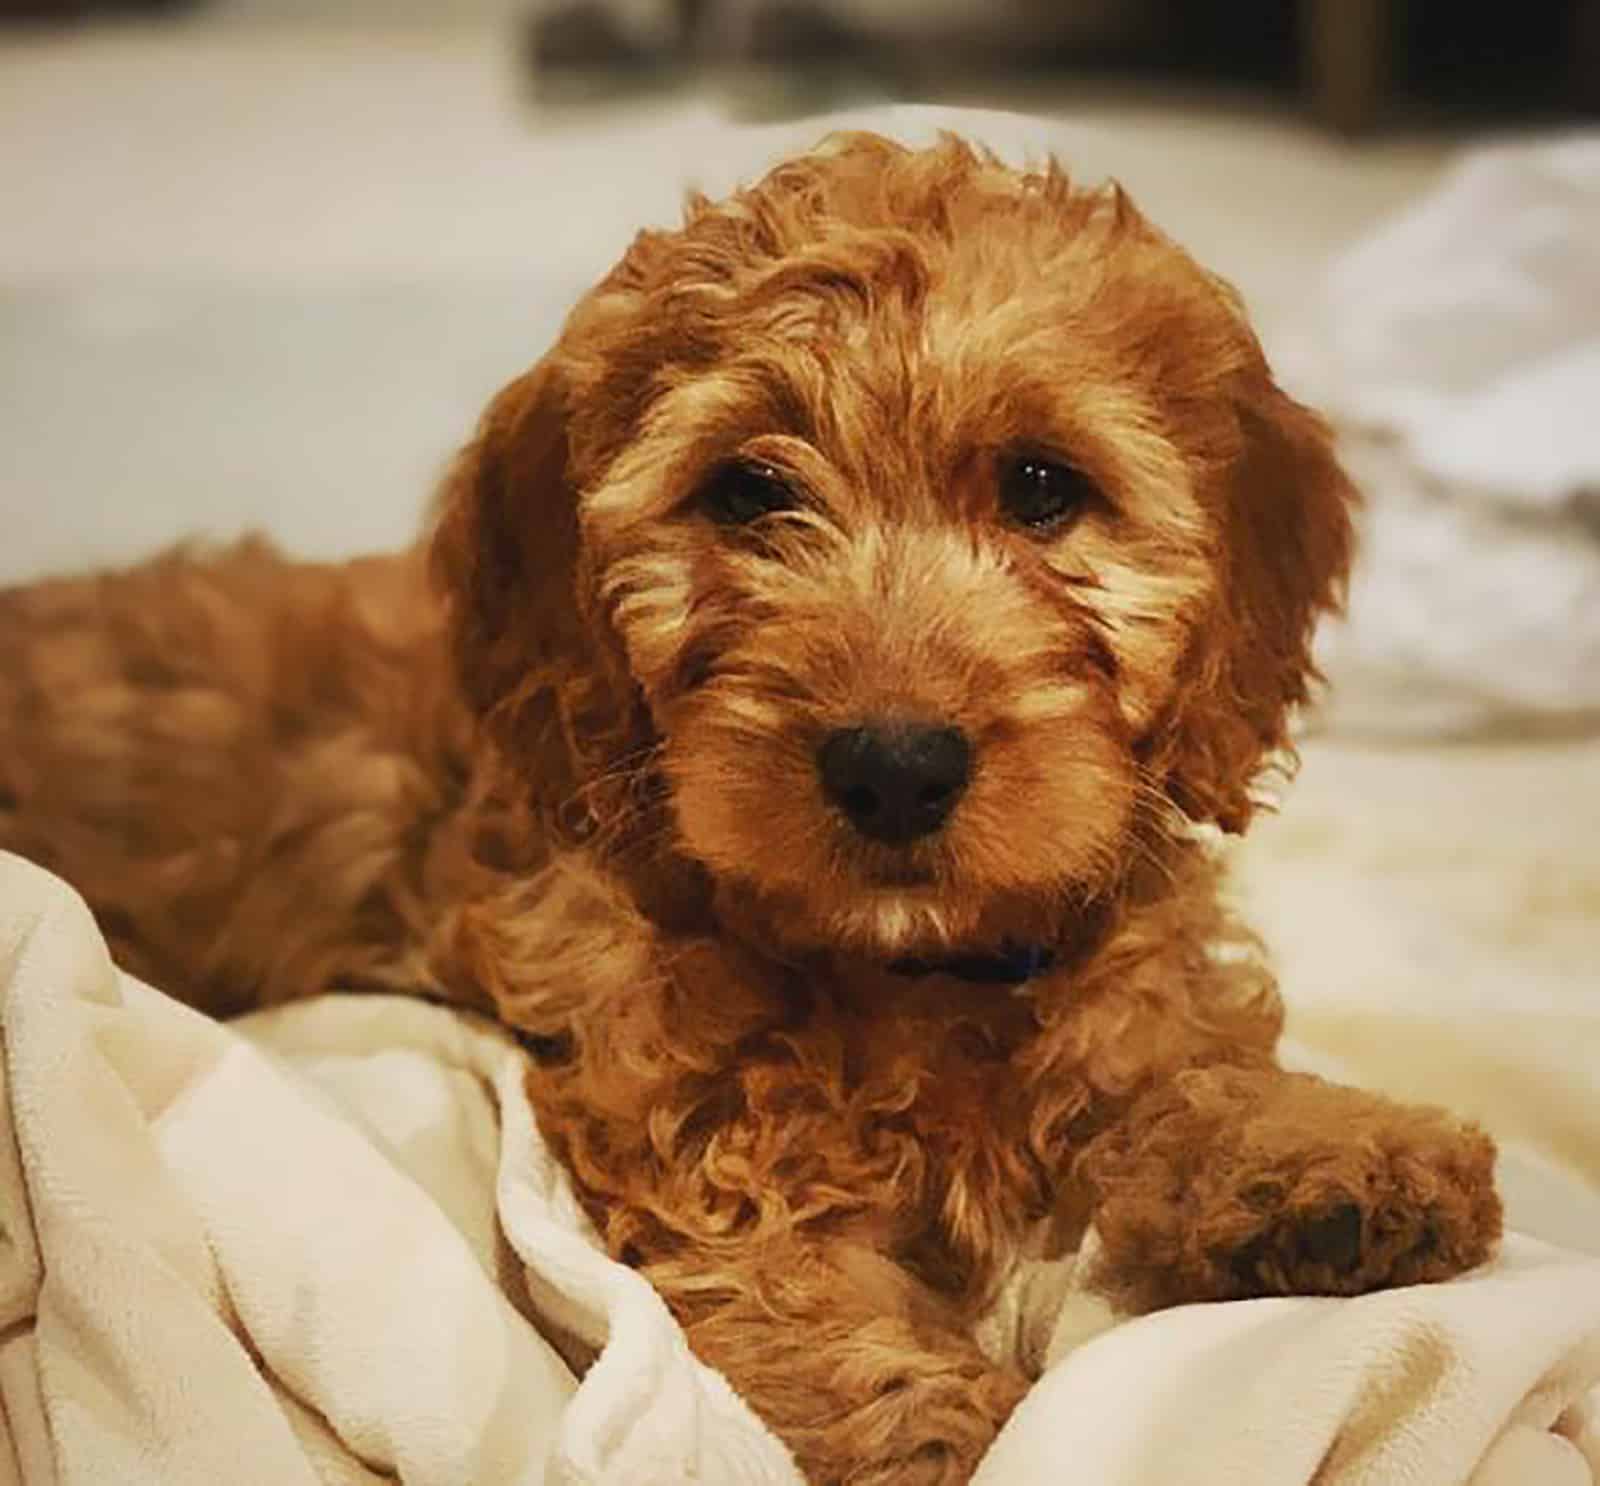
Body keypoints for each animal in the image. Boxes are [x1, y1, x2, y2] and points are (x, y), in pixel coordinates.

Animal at [0, 133, 1497, 1478]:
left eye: (1040, 485)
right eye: (745, 490)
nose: (894, 764)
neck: (914, 971)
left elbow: (1174, 1055)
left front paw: (1328, 1155)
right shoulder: (685, 1116)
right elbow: (790, 1284)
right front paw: (940, 1427)